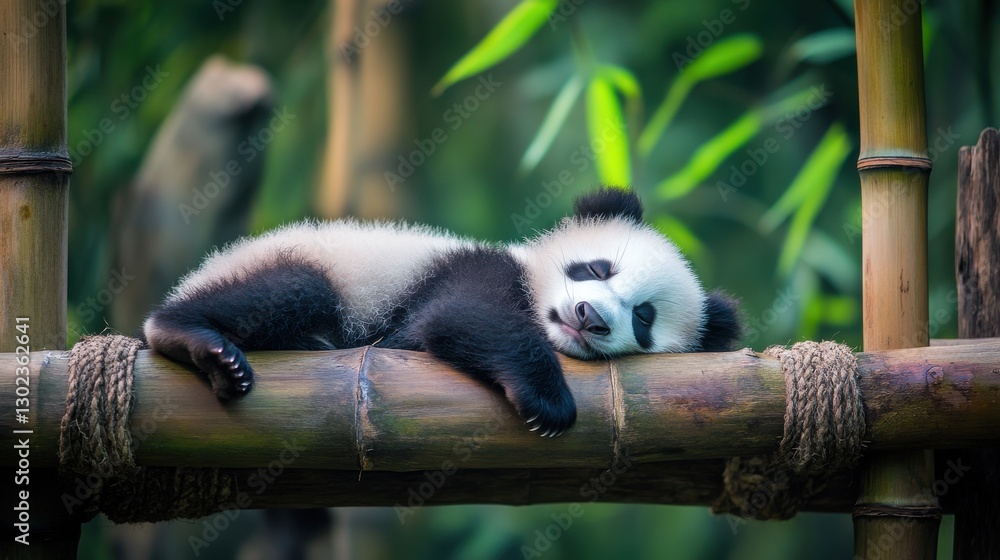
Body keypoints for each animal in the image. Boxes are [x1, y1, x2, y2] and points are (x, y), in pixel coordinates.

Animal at [144, 188, 740, 437]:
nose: (589, 315)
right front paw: (546, 402)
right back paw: (196, 340)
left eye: (644, 318)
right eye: (596, 268)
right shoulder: (475, 269)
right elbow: (459, 317)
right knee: (293, 288)